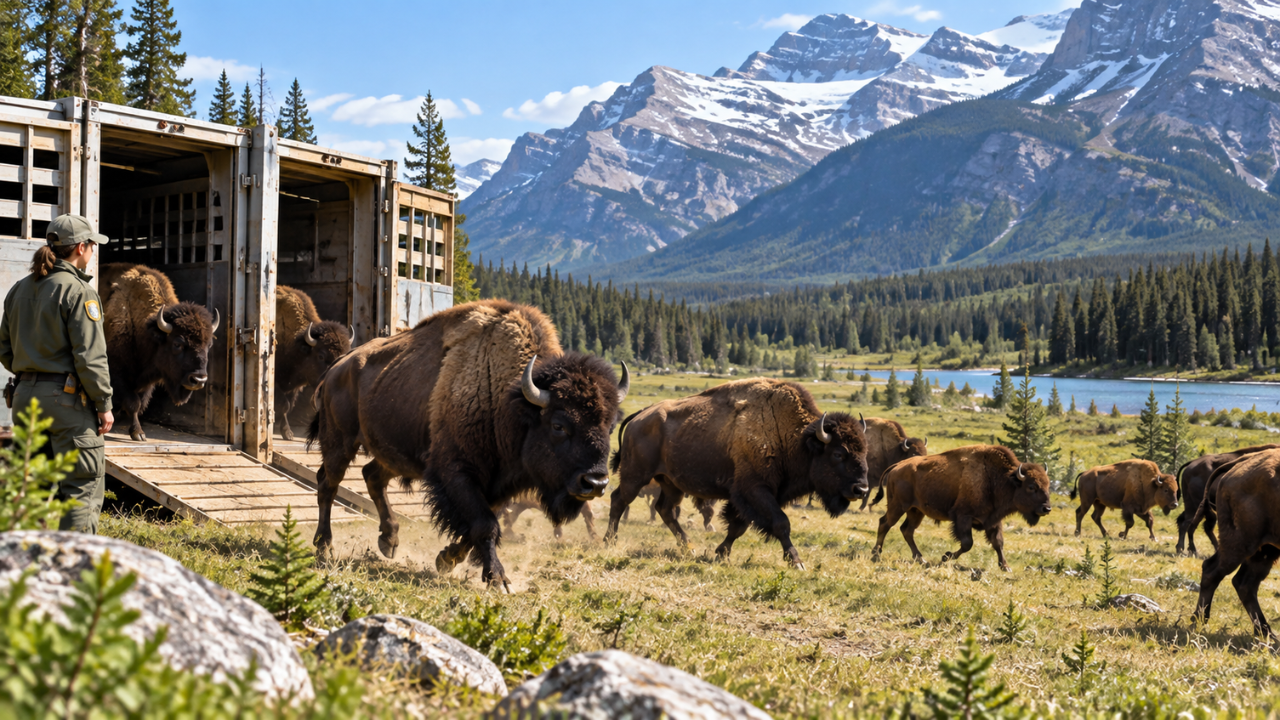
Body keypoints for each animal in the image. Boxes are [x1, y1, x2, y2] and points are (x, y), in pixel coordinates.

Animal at [101, 263, 218, 442]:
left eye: (209, 344)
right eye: (177, 344)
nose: (198, 379)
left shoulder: (146, 380)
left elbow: (140, 403)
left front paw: (137, 431)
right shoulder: (117, 372)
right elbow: (133, 403)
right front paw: (138, 433)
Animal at [307, 299, 628, 589]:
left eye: (611, 425)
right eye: (559, 425)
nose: (595, 483)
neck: (510, 402)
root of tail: (337, 366)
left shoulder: (497, 485)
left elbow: (480, 524)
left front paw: (446, 560)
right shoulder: (457, 472)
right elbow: (485, 525)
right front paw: (498, 579)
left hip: (394, 453)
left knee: (372, 476)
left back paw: (389, 541)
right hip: (339, 442)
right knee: (328, 484)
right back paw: (325, 548)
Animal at [604, 378, 868, 569]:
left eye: (865, 450)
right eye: (838, 454)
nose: (861, 489)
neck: (798, 439)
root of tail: (640, 416)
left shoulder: (750, 496)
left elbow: (738, 526)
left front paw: (721, 553)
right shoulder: (756, 490)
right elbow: (781, 523)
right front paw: (797, 562)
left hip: (670, 483)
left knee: (664, 509)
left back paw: (688, 547)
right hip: (635, 476)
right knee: (619, 500)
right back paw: (609, 541)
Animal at [872, 445, 1051, 571]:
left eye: (1048, 485)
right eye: (1031, 487)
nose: (1047, 509)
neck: (1000, 478)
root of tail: (897, 466)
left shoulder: (993, 520)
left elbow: (998, 543)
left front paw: (1005, 567)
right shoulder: (963, 517)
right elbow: (967, 543)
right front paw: (945, 557)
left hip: (916, 511)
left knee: (907, 530)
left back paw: (920, 559)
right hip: (898, 506)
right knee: (885, 523)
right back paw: (876, 555)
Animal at [1190, 448, 1280, 641]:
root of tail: (1243, 461)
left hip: (1264, 549)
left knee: (1245, 583)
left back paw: (1266, 632)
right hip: (1241, 543)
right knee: (1212, 571)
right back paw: (1199, 619)